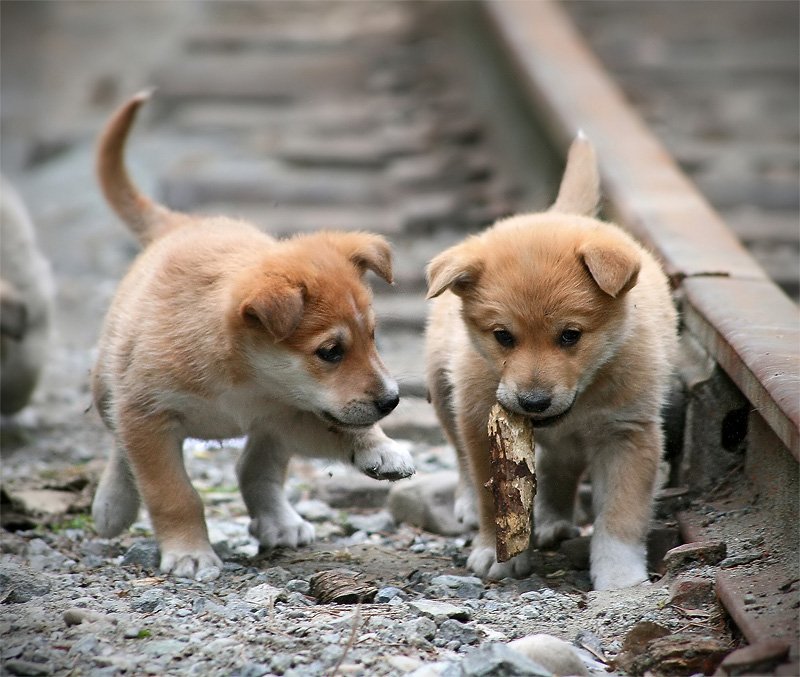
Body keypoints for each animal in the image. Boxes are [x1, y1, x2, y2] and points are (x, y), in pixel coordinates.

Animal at [91, 92, 416, 580]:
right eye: (330, 351)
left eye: (374, 337)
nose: (392, 401)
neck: (244, 378)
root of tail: (182, 224)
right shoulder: (147, 418)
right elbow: (172, 493)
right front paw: (189, 552)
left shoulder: (293, 413)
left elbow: (343, 428)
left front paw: (380, 447)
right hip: (107, 385)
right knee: (118, 443)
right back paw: (113, 503)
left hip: (274, 432)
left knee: (253, 469)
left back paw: (280, 521)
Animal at [424, 132, 676, 588]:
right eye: (503, 336)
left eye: (570, 336)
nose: (534, 403)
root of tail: (560, 213)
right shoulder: (478, 423)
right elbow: (491, 496)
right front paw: (497, 554)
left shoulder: (629, 433)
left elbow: (621, 514)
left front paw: (619, 577)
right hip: (441, 387)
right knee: (460, 456)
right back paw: (473, 506)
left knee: (560, 467)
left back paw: (552, 520)